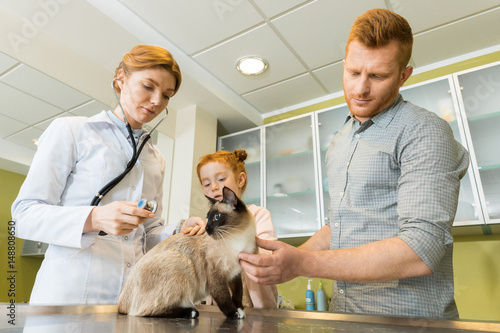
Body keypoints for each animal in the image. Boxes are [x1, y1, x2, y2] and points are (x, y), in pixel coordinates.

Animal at [118, 185, 256, 318]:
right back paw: (191, 312)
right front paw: (234, 314)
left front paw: (240, 310)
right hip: (181, 260)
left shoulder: (235, 274)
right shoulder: (216, 276)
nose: (206, 228)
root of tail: (121, 305)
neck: (237, 237)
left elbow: (237, 295)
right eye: (207, 218)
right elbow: (224, 299)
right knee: (143, 312)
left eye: (216, 217)